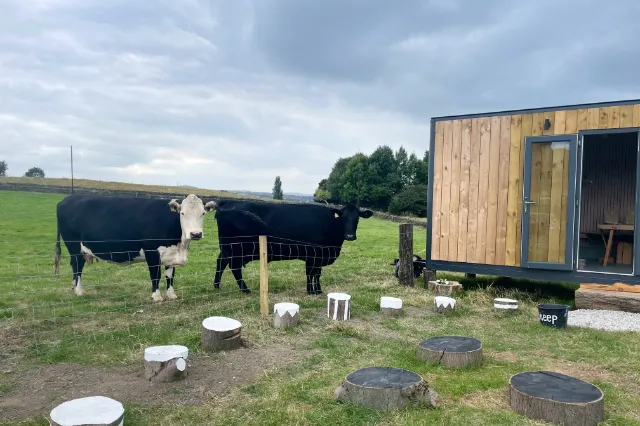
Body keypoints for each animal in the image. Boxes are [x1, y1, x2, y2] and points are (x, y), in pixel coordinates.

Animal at [53, 195, 218, 302]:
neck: (180, 244)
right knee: (77, 266)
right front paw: (156, 296)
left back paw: (76, 288)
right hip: (74, 247)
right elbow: (155, 275)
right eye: (182, 213)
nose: (195, 234)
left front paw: (171, 295)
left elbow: (170, 276)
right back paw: (79, 291)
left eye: (203, 213)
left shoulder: (170, 254)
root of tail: (66, 199)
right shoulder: (152, 252)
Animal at [212, 199, 372, 292]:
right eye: (343, 218)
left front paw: (318, 290)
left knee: (221, 263)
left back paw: (217, 286)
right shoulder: (313, 255)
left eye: (357, 219)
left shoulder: (320, 256)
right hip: (234, 248)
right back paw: (244, 289)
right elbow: (311, 273)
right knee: (234, 268)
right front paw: (311, 291)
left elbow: (317, 274)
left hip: (228, 249)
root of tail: (226, 203)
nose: (350, 236)